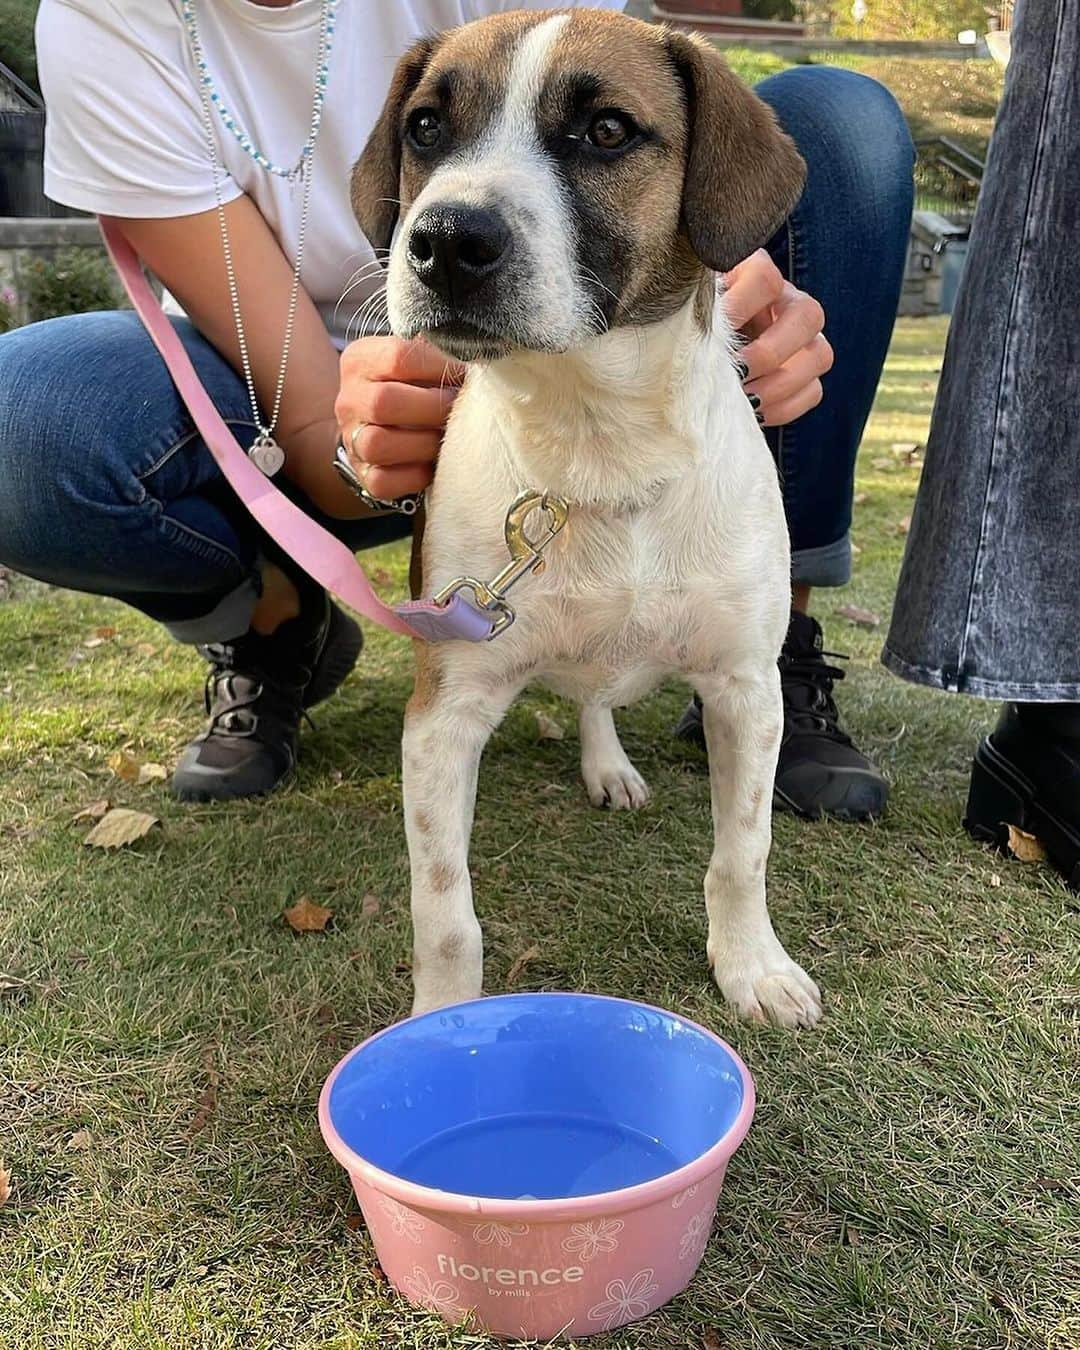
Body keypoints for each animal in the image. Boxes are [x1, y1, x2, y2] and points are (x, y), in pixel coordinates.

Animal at [351, 5, 820, 1026]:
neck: (597, 448)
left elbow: (744, 853)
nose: (444, 240)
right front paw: (443, 1025)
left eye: (607, 130)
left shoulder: (746, 690)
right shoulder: (444, 713)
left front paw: (752, 967)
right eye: (425, 127)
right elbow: (445, 913)